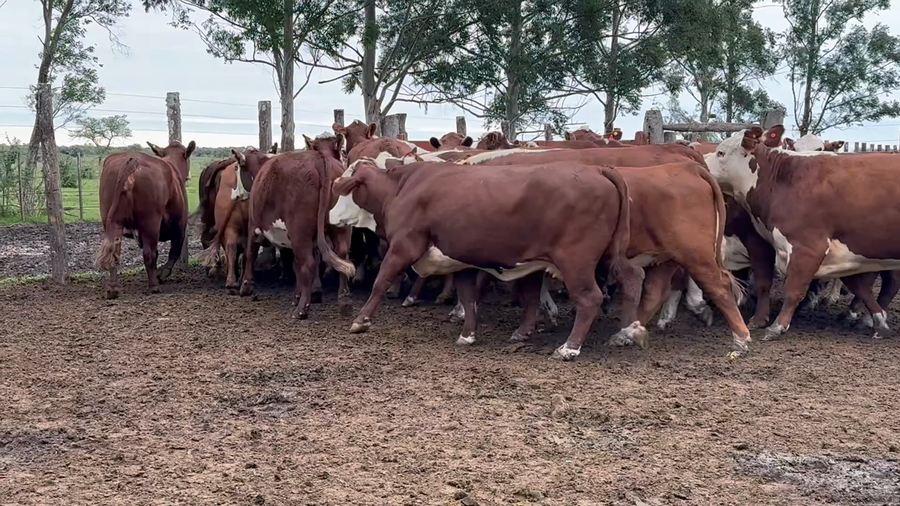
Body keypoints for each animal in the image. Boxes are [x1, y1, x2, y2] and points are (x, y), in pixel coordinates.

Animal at [96, 140, 196, 299]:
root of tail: (131, 160)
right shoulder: (180, 226)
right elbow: (174, 251)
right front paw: (161, 273)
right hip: (151, 221)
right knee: (149, 254)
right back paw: (154, 286)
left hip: (111, 220)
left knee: (114, 250)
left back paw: (113, 288)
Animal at [238, 133, 356, 319]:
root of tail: (320, 159)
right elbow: (296, 265)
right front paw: (298, 295)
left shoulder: (254, 226)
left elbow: (250, 253)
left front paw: (246, 286)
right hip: (341, 228)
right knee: (342, 256)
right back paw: (344, 301)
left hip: (300, 231)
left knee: (307, 264)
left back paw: (301, 310)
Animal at [331, 157, 636, 360]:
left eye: (345, 188)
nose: (330, 216)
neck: (401, 188)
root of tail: (597, 168)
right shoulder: (461, 260)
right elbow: (467, 297)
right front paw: (467, 334)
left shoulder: (403, 248)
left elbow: (380, 283)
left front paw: (361, 320)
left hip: (576, 262)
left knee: (590, 298)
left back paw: (569, 348)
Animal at [708, 125, 900, 339]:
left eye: (721, 152)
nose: (703, 163)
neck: (782, 180)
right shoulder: (845, 254)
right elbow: (860, 287)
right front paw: (879, 320)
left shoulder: (807, 247)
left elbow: (793, 290)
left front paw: (777, 326)